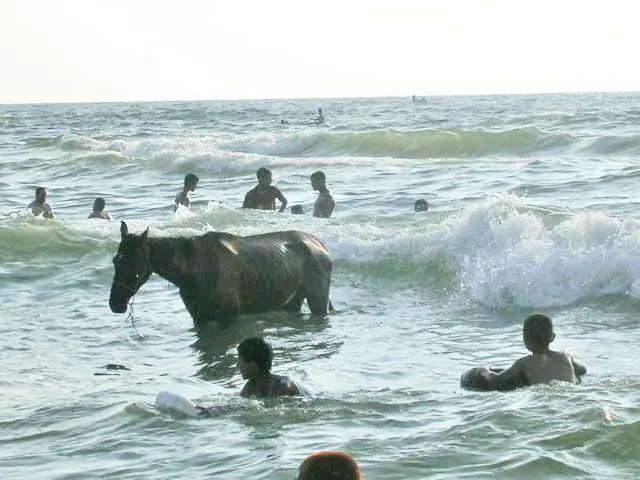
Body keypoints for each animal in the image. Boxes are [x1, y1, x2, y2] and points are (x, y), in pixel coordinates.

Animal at [109, 221, 336, 326]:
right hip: (292, 301)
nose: (115, 304)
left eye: (133, 262)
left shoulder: (229, 316)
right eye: (115, 260)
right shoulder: (199, 318)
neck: (190, 273)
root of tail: (321, 245)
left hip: (318, 300)